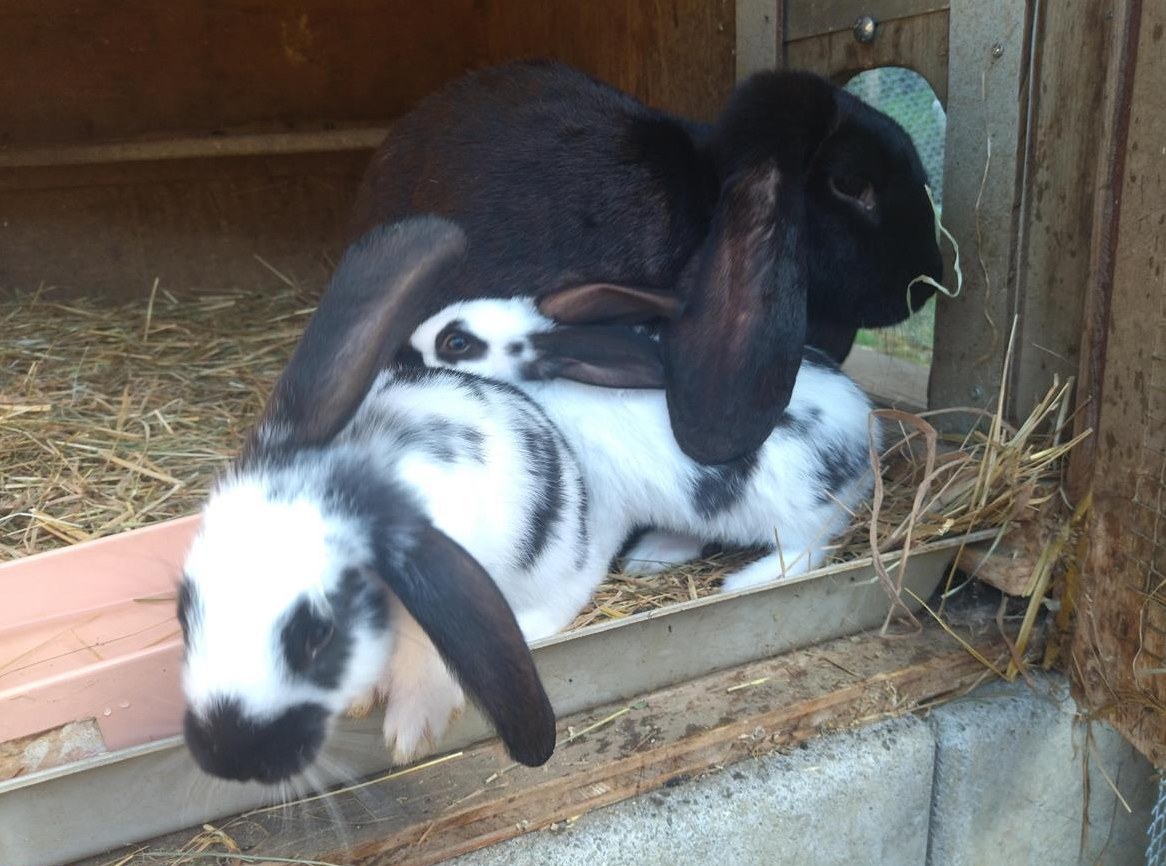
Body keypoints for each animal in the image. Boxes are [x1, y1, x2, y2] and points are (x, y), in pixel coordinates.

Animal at [179, 216, 623, 784]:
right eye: (184, 610)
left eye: (319, 635)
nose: (228, 758)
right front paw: (361, 701)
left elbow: (427, 650)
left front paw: (410, 732)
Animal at [408, 285, 880, 592]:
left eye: (457, 342)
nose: (408, 346)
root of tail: (868, 438)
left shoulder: (601, 499)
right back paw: (651, 555)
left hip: (796, 515)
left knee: (807, 548)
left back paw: (743, 582)